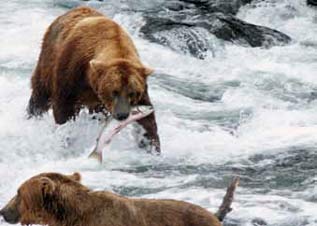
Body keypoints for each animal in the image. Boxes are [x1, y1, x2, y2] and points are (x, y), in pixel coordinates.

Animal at [26, 6, 160, 152]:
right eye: (114, 91)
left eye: (132, 93)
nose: (122, 114)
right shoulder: (71, 70)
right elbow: (64, 109)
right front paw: (65, 136)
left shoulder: (140, 83)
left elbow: (147, 120)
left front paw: (152, 147)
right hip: (48, 59)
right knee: (40, 96)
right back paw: (32, 116)